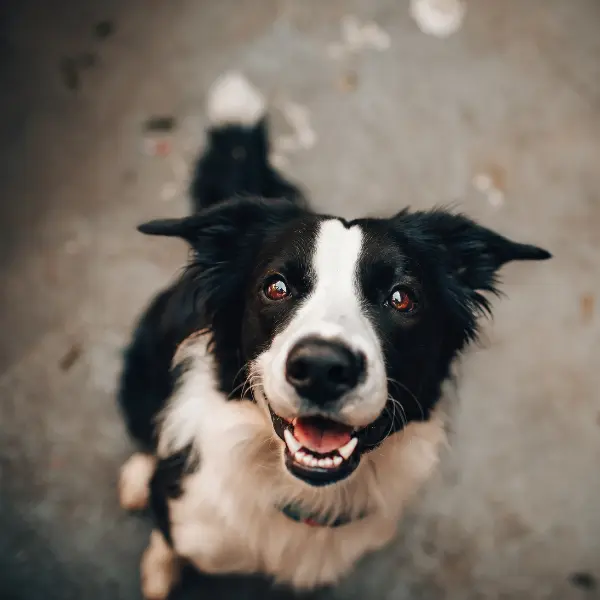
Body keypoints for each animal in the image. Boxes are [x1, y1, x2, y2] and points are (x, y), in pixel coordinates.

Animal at [115, 72, 552, 596]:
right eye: (276, 287)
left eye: (402, 298)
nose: (322, 368)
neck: (302, 495)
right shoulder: (186, 516)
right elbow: (167, 538)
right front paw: (160, 572)